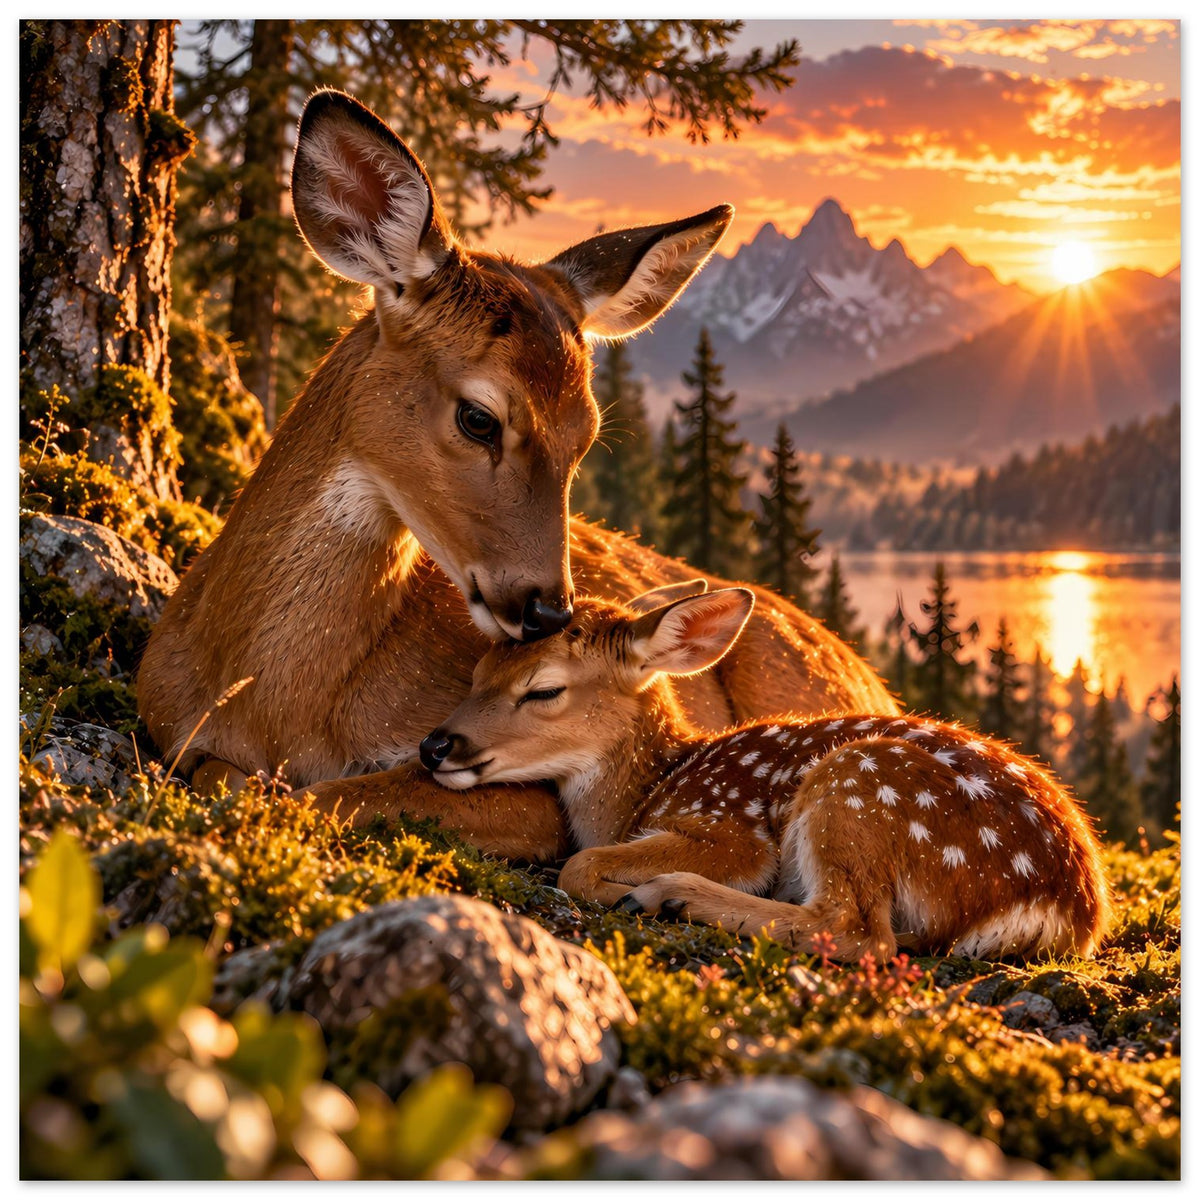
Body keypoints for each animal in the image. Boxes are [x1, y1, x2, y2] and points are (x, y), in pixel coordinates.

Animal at [138, 89, 899, 864]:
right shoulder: (167, 723)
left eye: (586, 434)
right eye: (479, 417)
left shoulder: (530, 796)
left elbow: (326, 794)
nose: (548, 610)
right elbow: (230, 776)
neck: (267, 703)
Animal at [421, 584, 1111, 961]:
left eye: (544, 690)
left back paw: (672, 895)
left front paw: (627, 887)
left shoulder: (731, 828)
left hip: (858, 786)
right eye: (479, 670)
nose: (434, 745)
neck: (648, 788)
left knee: (857, 930)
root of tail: (1067, 908)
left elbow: (580, 863)